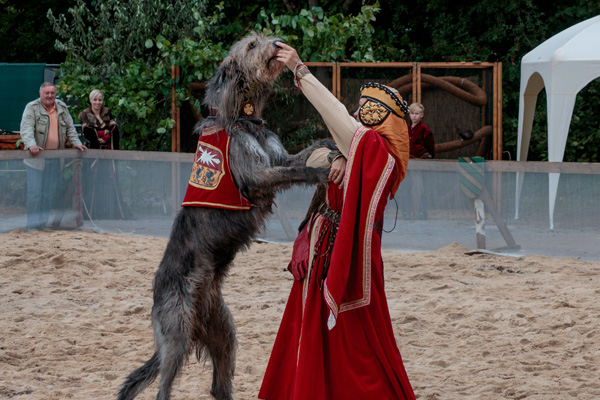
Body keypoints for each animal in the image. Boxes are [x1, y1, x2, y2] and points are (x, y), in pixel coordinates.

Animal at [117, 34, 332, 400]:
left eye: (264, 36)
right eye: (251, 45)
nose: (278, 43)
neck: (245, 119)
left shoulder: (277, 157)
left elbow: (299, 156)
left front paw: (329, 142)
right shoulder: (256, 176)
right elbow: (298, 170)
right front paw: (321, 170)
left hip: (224, 335)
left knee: (219, 386)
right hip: (175, 336)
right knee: (163, 388)